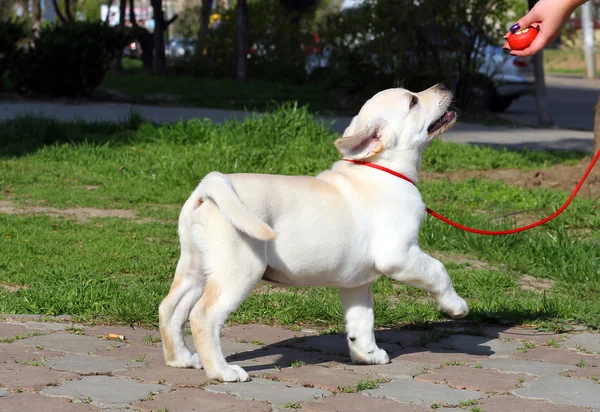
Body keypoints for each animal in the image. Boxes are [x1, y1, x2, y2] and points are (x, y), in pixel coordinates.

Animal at [159, 83, 468, 384]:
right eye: (413, 101)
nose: (443, 85)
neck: (381, 168)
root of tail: (208, 188)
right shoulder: (399, 255)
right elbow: (438, 269)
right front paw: (455, 306)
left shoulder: (356, 283)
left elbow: (362, 320)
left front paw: (367, 354)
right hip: (240, 270)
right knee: (203, 316)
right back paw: (223, 372)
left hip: (196, 268)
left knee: (170, 309)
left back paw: (181, 359)